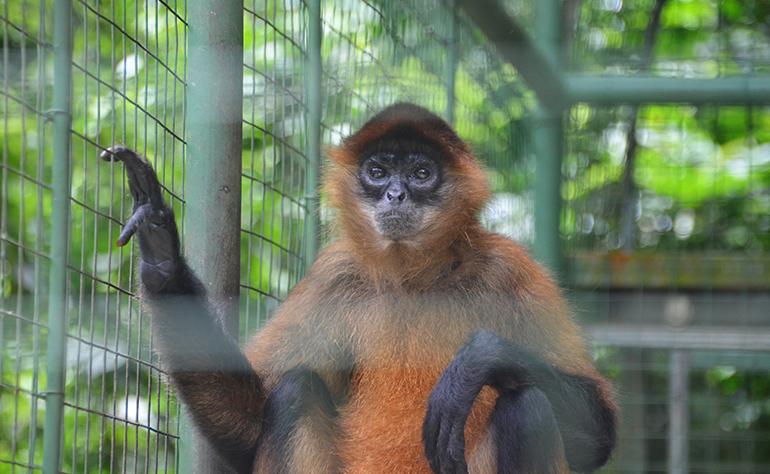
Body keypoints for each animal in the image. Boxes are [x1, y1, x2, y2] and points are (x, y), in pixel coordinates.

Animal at [103, 103, 616, 474]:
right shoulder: (336, 275)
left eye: (422, 174)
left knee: (526, 406)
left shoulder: (509, 270)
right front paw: (162, 254)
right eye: (378, 171)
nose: (395, 194)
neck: (414, 280)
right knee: (294, 391)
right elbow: (248, 427)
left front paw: (475, 364)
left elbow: (601, 436)